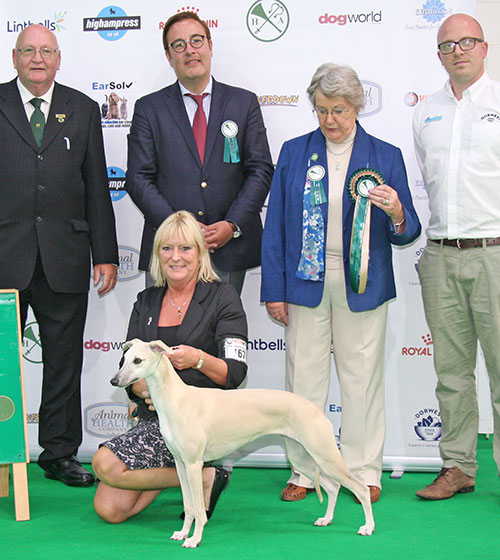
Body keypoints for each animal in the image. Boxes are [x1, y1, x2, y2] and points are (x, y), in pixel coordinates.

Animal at [110, 340, 376, 548]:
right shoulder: (180, 464)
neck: (177, 398)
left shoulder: (194, 464)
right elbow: (189, 504)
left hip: (324, 454)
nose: (114, 380)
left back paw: (368, 527)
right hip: (301, 456)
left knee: (359, 488)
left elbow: (198, 509)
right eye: (123, 360)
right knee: (332, 487)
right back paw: (326, 519)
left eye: (138, 360)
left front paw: (195, 539)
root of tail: (316, 410)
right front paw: (183, 533)